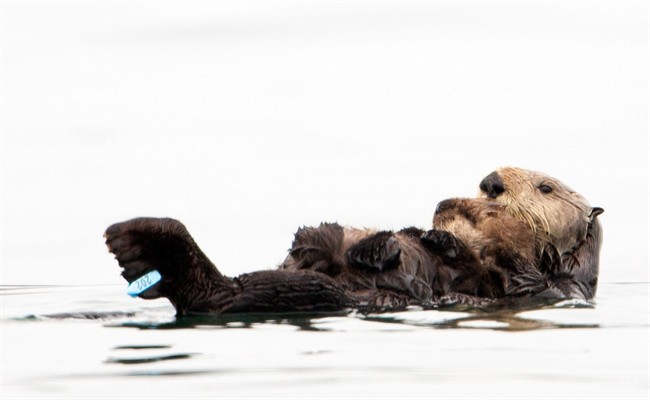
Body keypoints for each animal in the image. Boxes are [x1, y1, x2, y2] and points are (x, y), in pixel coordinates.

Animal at [104, 167, 603, 315]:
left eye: (545, 187)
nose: (491, 183)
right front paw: (439, 220)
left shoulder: (546, 285)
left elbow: (511, 270)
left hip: (313, 293)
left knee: (218, 294)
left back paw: (140, 245)